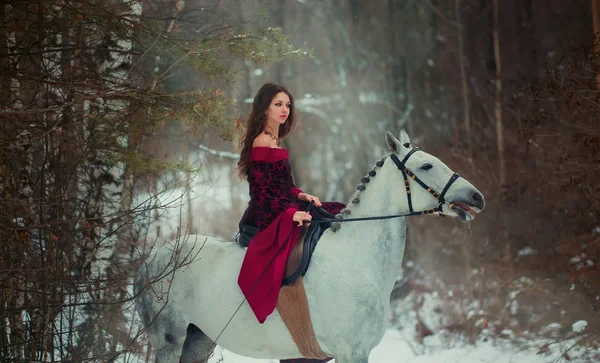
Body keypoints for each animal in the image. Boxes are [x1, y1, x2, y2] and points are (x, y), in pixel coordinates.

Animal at [134, 131, 486, 363]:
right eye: (426, 166)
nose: (476, 197)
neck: (356, 259)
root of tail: (150, 261)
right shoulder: (351, 352)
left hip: (198, 341)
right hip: (170, 343)